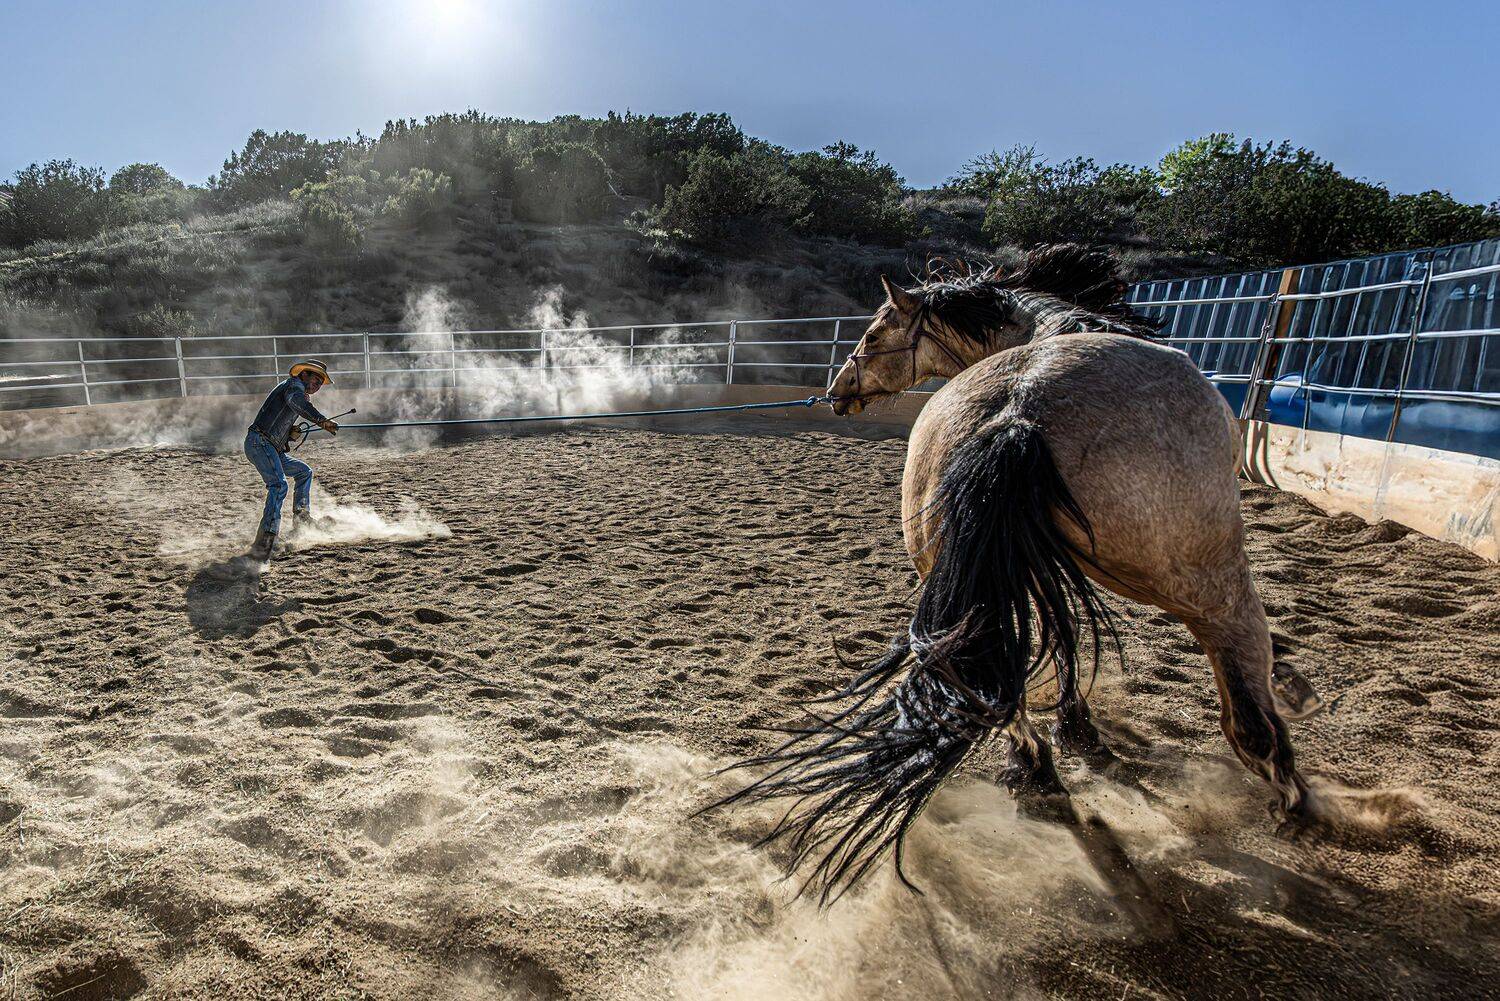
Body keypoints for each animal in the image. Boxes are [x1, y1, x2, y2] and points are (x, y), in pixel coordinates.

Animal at [714, 245, 1326, 903]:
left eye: (875, 333)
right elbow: (1068, 643)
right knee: (1246, 701)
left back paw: (1034, 771)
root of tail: (1019, 408)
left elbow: (1055, 644)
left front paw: (1074, 732)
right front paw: (1081, 730)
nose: (837, 390)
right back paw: (1295, 792)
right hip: (1208, 576)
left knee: (982, 678)